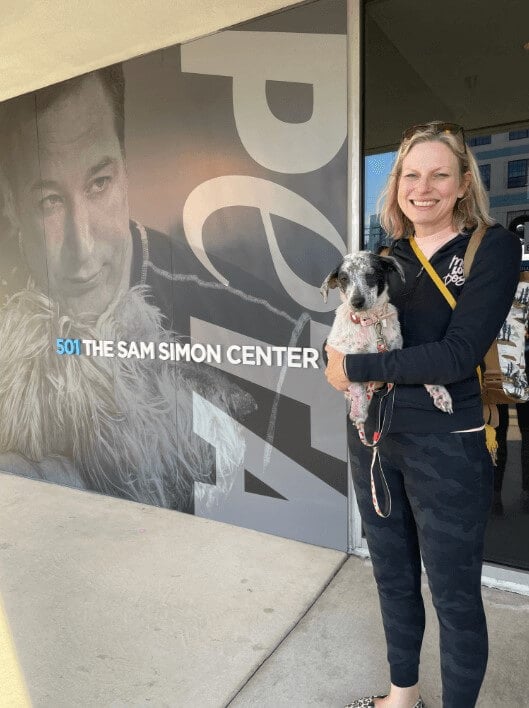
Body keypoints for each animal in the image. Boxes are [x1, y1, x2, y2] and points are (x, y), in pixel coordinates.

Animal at [320, 250, 452, 442]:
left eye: (371, 274)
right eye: (344, 278)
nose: (356, 302)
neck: (370, 322)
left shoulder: (397, 354)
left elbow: (422, 371)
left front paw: (440, 393)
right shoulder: (340, 357)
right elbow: (356, 386)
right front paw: (359, 411)